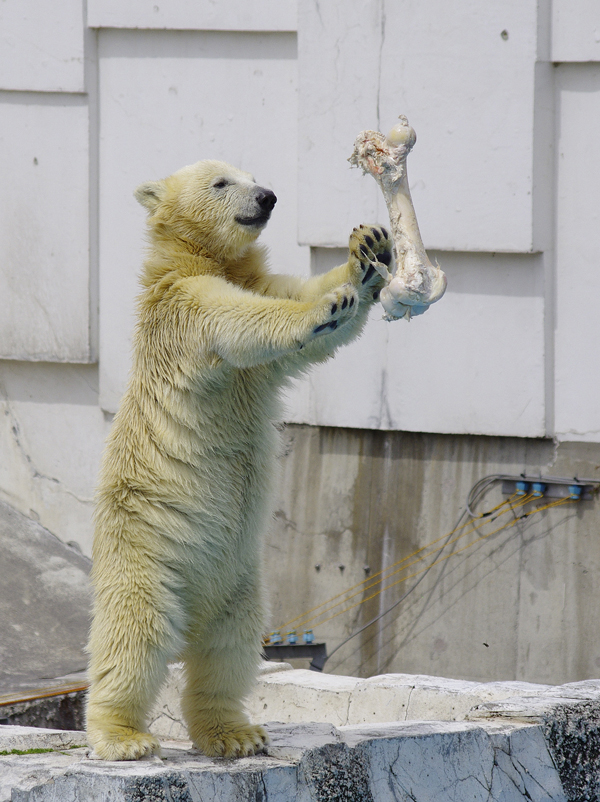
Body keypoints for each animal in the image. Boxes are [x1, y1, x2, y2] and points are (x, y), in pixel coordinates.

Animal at [85, 159, 394, 760]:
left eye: (252, 174)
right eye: (222, 182)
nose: (268, 196)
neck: (200, 256)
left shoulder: (250, 289)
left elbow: (295, 304)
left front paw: (366, 254)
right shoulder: (183, 307)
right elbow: (244, 321)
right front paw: (328, 306)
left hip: (240, 580)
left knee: (230, 648)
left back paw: (234, 733)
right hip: (147, 554)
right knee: (136, 635)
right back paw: (123, 736)